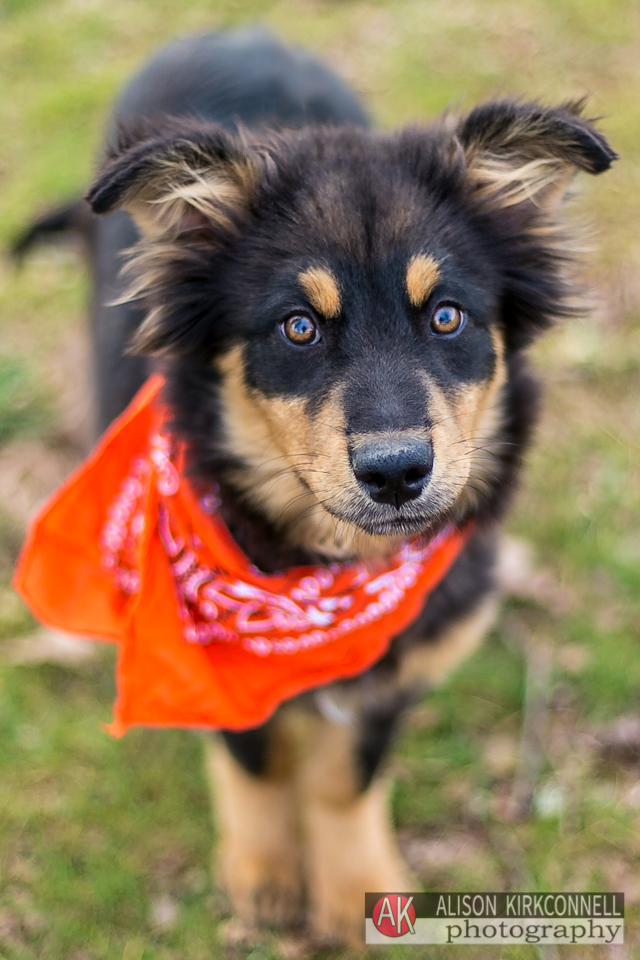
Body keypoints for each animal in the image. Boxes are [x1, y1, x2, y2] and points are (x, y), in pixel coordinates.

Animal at [16, 26, 616, 948]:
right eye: (298, 327)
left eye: (447, 316)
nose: (397, 471)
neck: (324, 577)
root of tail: (232, 30)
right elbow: (255, 755)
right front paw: (265, 876)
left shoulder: (406, 657)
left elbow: (345, 778)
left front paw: (356, 888)